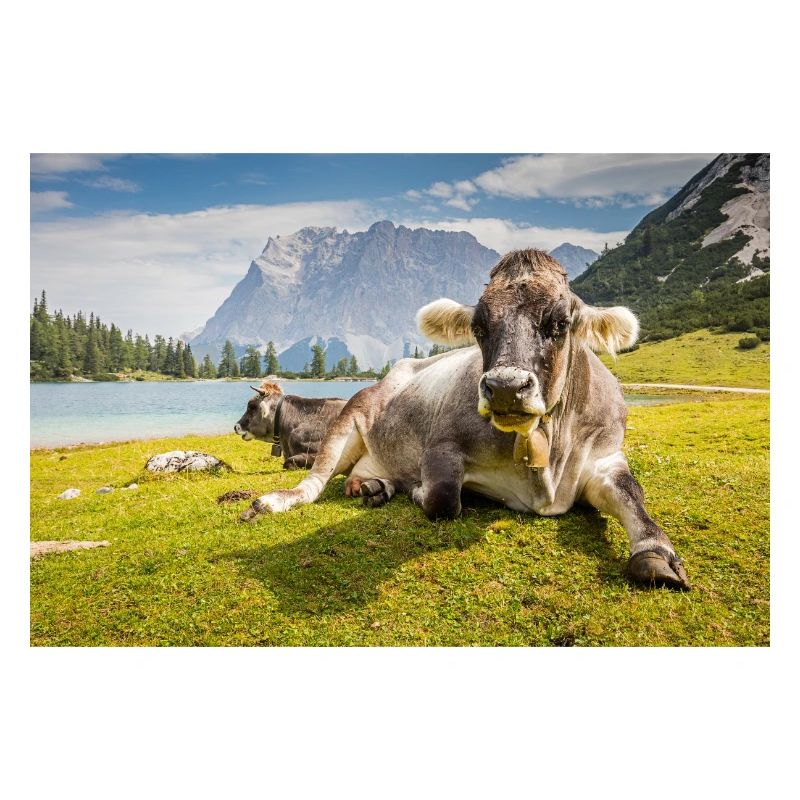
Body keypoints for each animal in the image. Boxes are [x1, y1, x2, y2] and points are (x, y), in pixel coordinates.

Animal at [240, 250, 690, 590]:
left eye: (560, 323)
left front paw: (655, 553)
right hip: (351, 417)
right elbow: (442, 500)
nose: (506, 387)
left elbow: (634, 496)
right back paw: (273, 501)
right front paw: (418, 490)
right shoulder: (441, 447)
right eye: (478, 326)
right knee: (312, 484)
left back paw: (374, 487)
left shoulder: (606, 456)